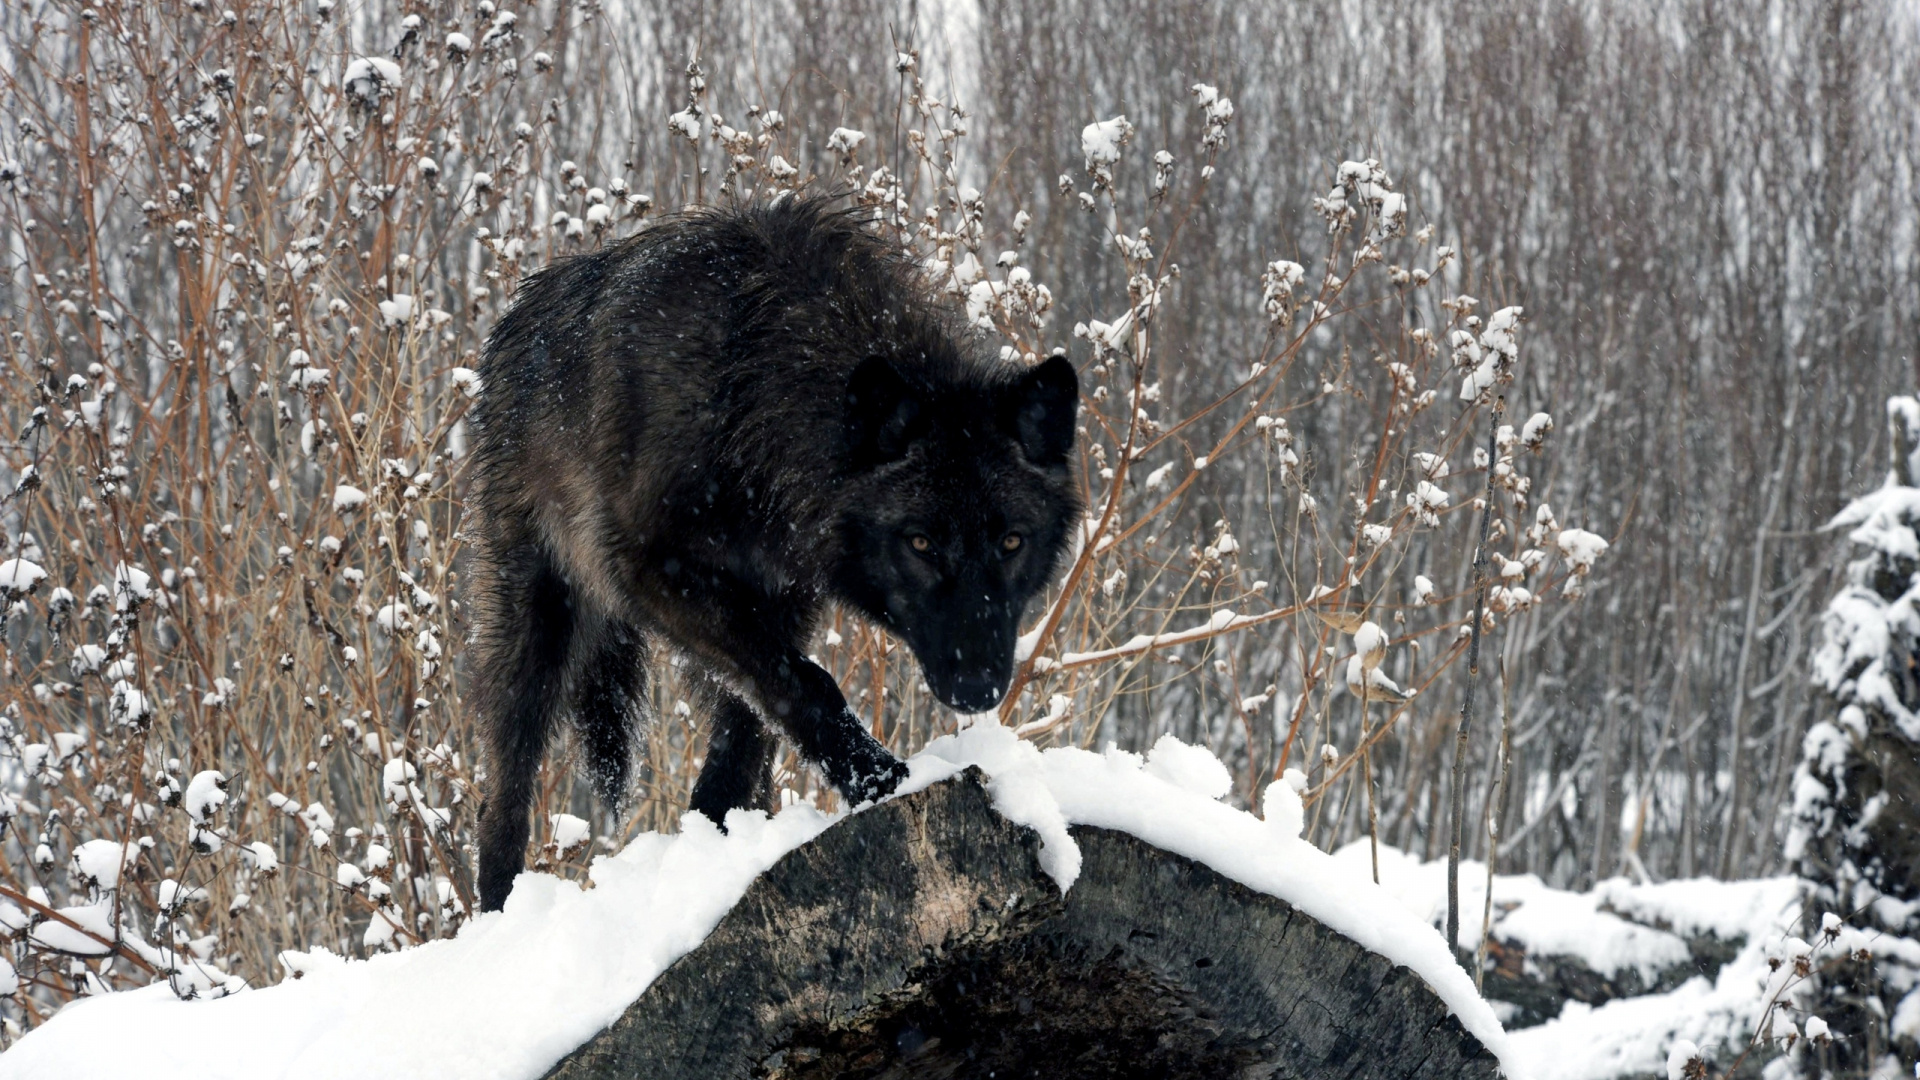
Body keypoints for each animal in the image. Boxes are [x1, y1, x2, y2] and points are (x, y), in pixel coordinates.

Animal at [466, 195, 1082, 907]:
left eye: (1011, 542)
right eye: (921, 542)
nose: (978, 685)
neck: (752, 382)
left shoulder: (784, 599)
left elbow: (753, 728)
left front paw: (720, 846)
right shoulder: (651, 573)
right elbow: (806, 683)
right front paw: (879, 779)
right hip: (538, 628)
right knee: (504, 792)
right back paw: (500, 912)